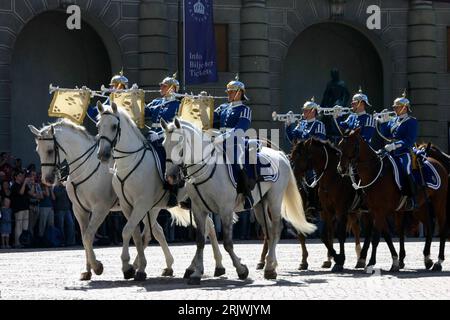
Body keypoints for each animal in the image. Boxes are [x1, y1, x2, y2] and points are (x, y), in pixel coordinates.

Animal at [27, 119, 178, 280]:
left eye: (50, 150)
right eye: (38, 150)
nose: (47, 179)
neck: (85, 167)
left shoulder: (100, 209)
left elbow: (88, 236)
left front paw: (97, 267)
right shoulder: (79, 210)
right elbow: (84, 238)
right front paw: (87, 271)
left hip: (148, 207)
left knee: (149, 233)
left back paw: (138, 266)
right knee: (157, 232)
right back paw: (164, 266)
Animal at [96, 102, 227, 280]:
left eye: (114, 126)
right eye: (98, 126)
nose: (102, 154)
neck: (129, 163)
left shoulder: (142, 204)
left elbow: (128, 231)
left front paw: (129, 266)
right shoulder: (127, 206)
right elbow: (137, 234)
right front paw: (138, 266)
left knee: (208, 229)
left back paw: (209, 266)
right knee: (208, 227)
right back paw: (205, 266)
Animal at [160, 119, 318, 284]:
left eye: (179, 146)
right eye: (164, 145)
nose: (170, 177)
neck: (205, 170)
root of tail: (280, 154)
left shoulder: (225, 210)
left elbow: (228, 243)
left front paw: (241, 269)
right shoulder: (199, 210)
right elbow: (200, 241)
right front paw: (197, 273)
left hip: (275, 200)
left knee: (276, 229)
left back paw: (269, 267)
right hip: (260, 205)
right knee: (268, 230)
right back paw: (270, 264)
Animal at [290, 139, 368, 272]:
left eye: (299, 155)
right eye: (291, 156)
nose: (293, 177)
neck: (333, 178)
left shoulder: (340, 210)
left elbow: (340, 234)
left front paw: (340, 260)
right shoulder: (326, 211)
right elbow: (323, 235)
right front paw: (335, 257)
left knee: (359, 230)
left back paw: (360, 260)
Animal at [340, 129, 448, 272]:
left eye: (352, 146)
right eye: (340, 146)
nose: (341, 168)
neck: (375, 173)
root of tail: (437, 163)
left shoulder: (380, 211)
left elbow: (376, 237)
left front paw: (370, 263)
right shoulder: (373, 211)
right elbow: (386, 235)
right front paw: (395, 261)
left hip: (439, 203)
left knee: (442, 228)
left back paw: (438, 261)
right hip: (419, 207)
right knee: (429, 225)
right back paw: (427, 259)